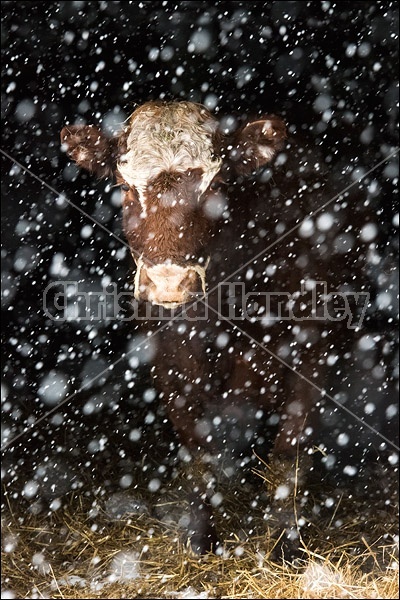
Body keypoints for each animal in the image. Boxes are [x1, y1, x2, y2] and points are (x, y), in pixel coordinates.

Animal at [60, 99, 366, 564]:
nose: (168, 282)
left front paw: (286, 546)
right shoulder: (169, 363)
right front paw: (201, 540)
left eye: (215, 186)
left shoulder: (314, 353)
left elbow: (288, 454)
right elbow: (197, 456)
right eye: (125, 187)